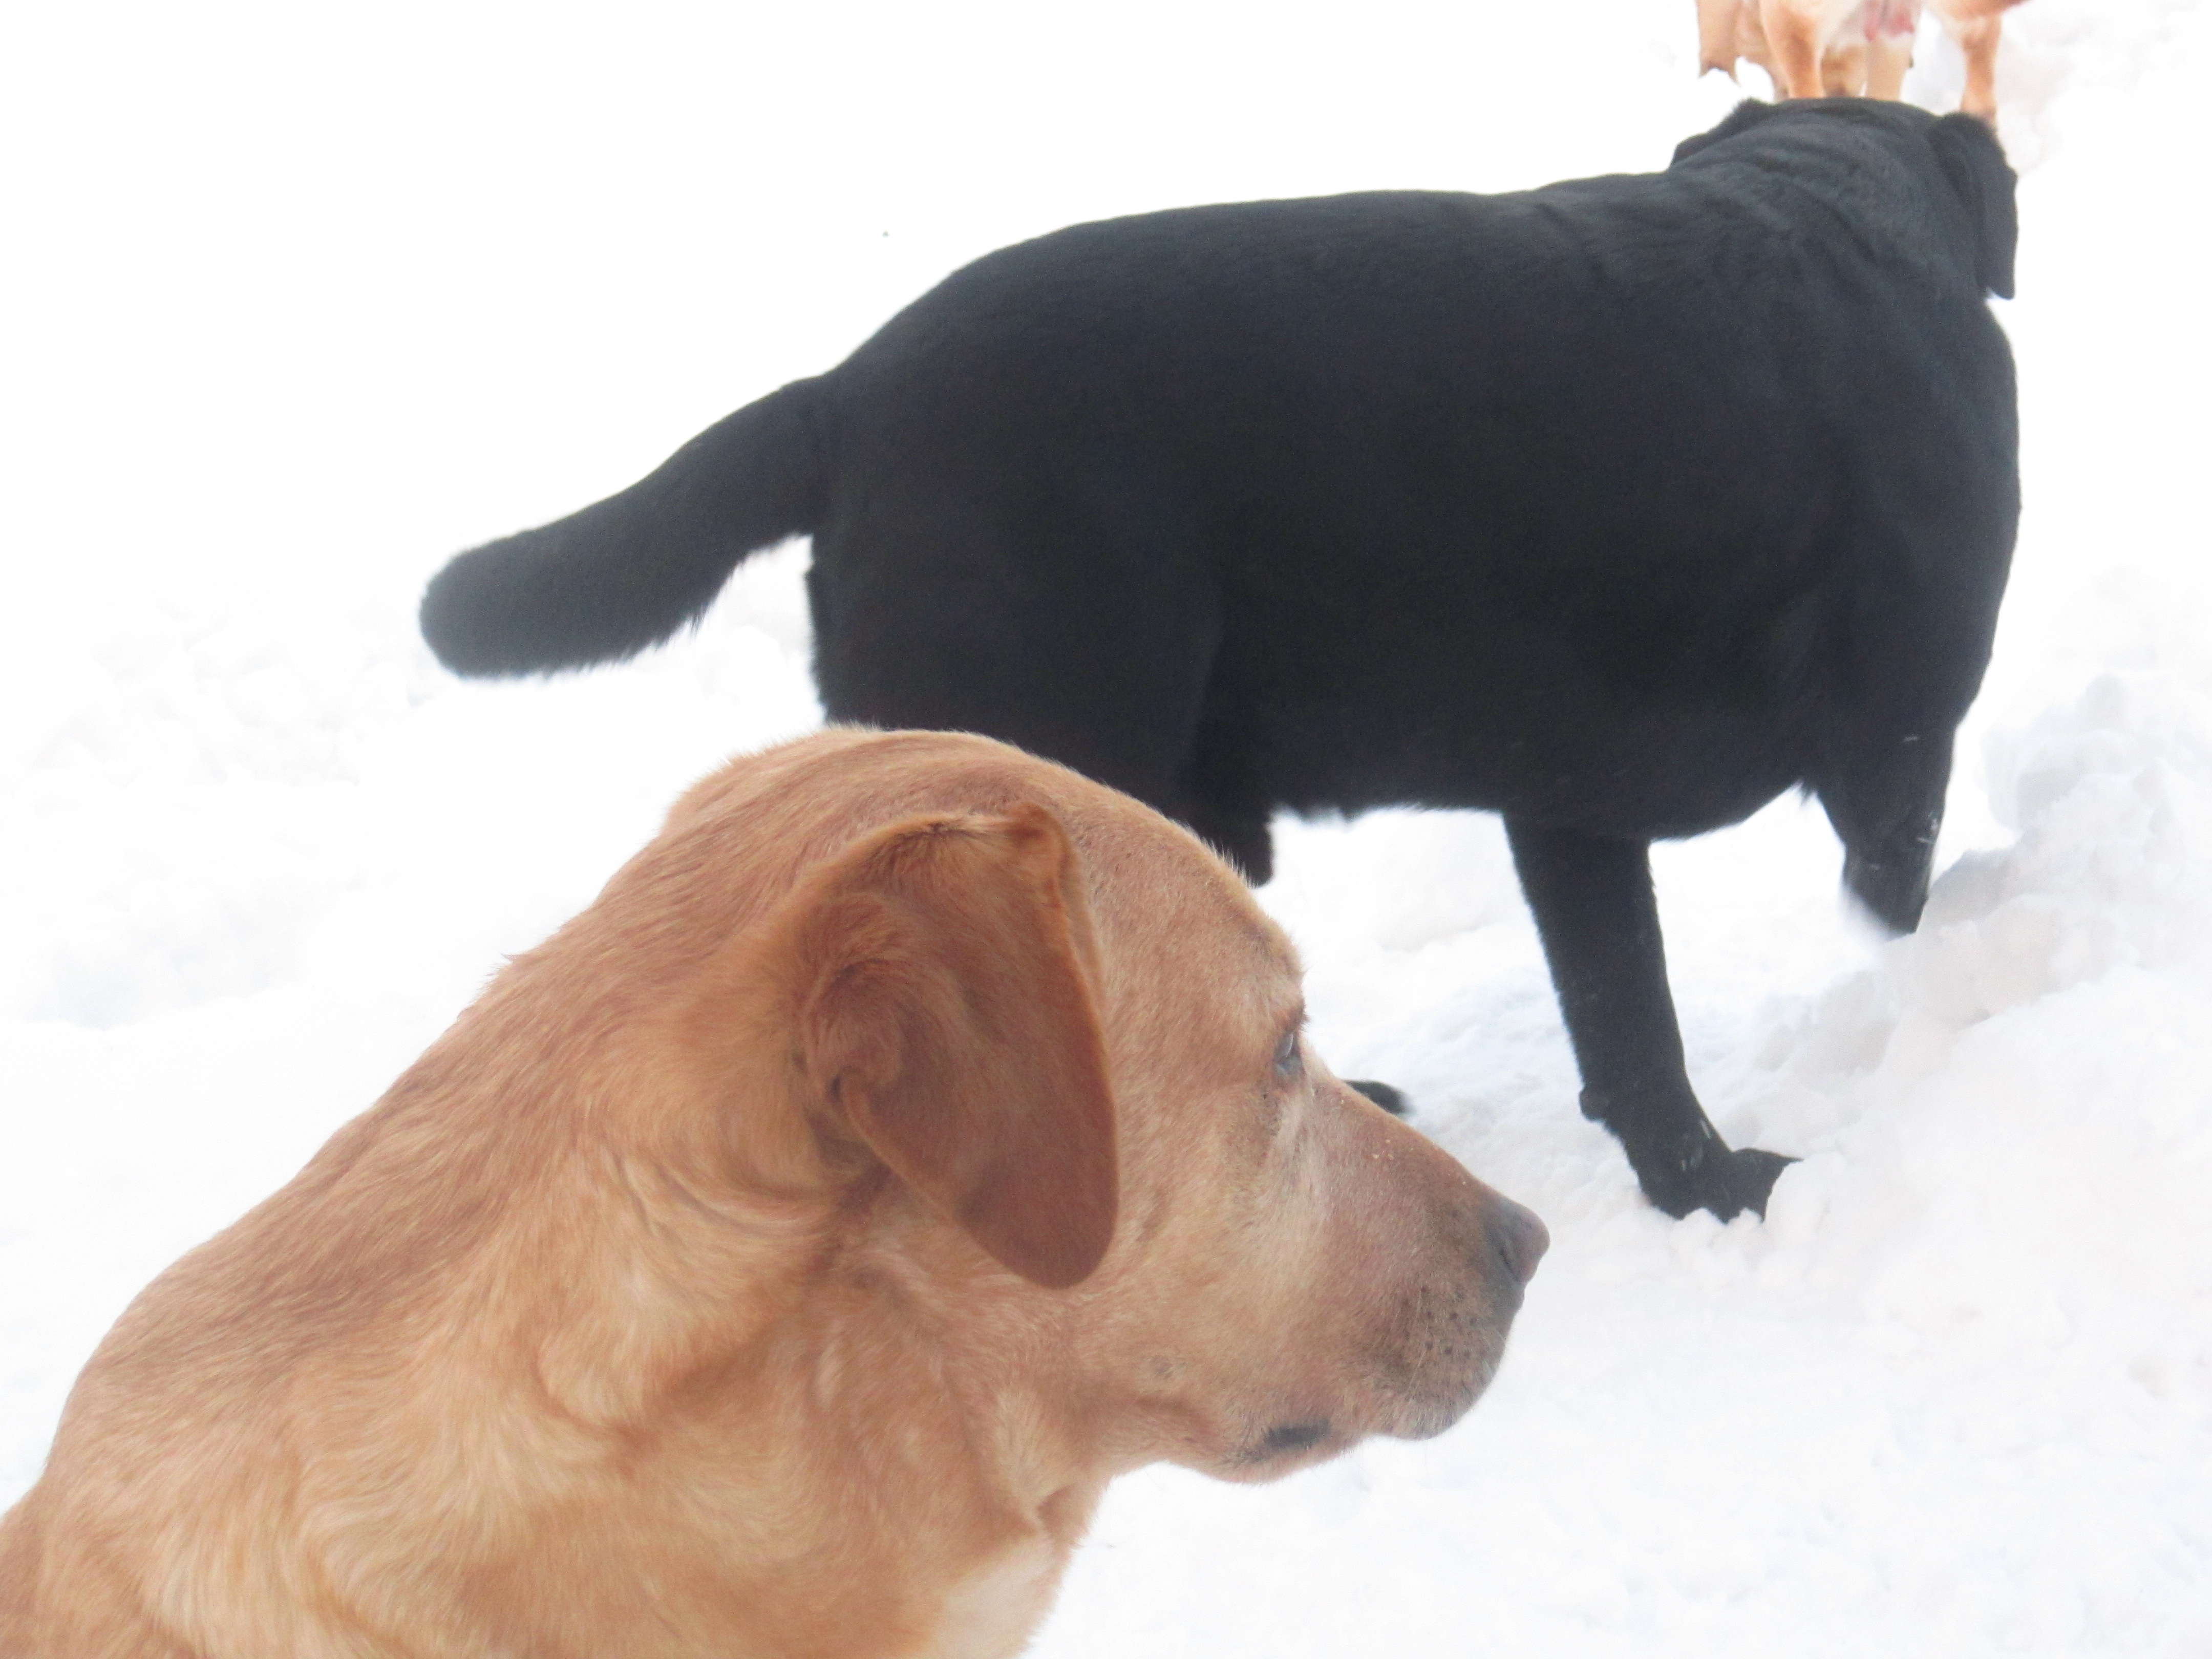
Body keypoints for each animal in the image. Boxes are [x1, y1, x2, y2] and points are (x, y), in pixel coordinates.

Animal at [418, 100, 2026, 1221]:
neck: (1827, 201)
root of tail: (845, 394)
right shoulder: (1900, 744)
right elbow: (1866, 909)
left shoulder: (1567, 804)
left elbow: (1625, 1022)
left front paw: (1690, 1185)